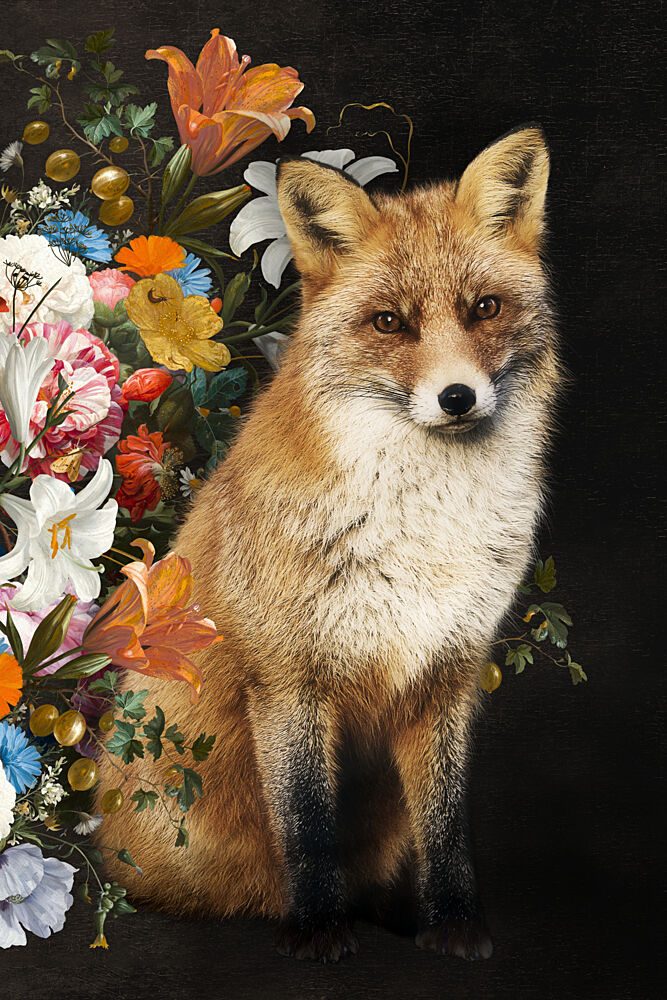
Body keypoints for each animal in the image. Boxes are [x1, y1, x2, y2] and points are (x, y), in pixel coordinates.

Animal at [96, 124, 560, 963]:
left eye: (483, 308)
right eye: (389, 323)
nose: (456, 398)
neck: (423, 530)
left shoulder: (446, 674)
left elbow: (445, 826)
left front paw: (452, 924)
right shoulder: (288, 680)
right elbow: (307, 825)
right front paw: (317, 928)